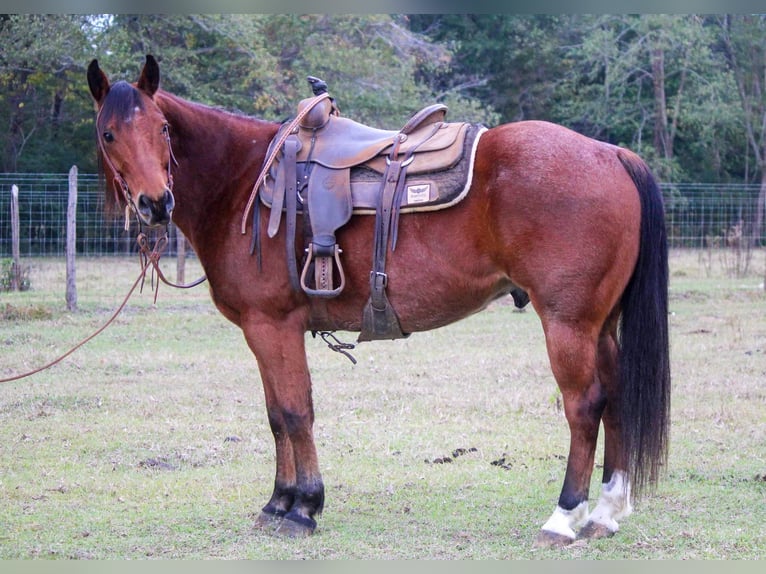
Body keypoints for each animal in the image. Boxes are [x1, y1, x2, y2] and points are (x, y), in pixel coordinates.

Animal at [87, 55, 668, 548]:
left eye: (162, 129)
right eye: (109, 133)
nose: (155, 202)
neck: (241, 181)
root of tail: (611, 153)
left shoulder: (272, 326)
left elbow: (295, 412)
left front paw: (303, 507)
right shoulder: (264, 332)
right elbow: (276, 415)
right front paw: (277, 503)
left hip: (568, 323)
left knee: (584, 405)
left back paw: (564, 517)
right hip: (600, 324)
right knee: (616, 395)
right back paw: (606, 512)